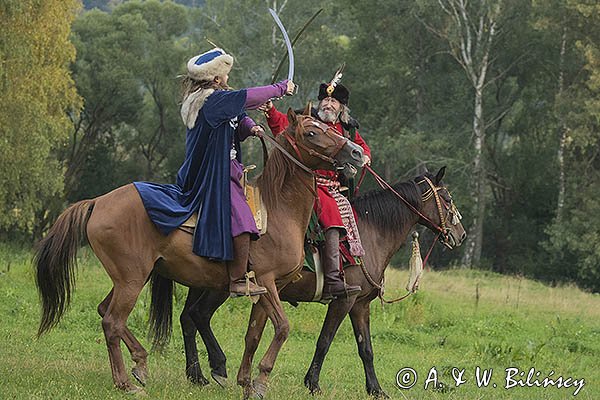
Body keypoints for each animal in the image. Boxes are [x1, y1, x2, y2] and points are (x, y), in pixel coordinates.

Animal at [35, 108, 364, 396]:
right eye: (312, 132)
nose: (356, 153)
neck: (278, 209)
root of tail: (99, 202)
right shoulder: (267, 282)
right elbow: (282, 328)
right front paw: (258, 382)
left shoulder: (270, 288)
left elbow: (253, 334)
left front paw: (246, 382)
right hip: (131, 279)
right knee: (112, 321)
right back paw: (126, 383)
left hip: (132, 278)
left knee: (106, 312)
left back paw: (141, 362)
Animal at [149, 165, 464, 396]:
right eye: (448, 199)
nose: (459, 235)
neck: (371, 232)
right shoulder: (344, 300)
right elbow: (324, 341)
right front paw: (312, 383)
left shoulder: (361, 305)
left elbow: (366, 348)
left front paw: (375, 390)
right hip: (221, 287)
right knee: (199, 315)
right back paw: (216, 367)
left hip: (204, 284)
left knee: (189, 318)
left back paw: (198, 374)